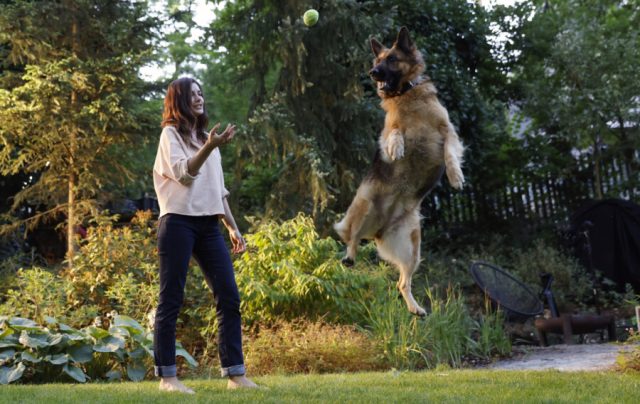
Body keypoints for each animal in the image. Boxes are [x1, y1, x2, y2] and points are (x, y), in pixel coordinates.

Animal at [332, 26, 462, 318]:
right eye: (376, 61)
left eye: (391, 59)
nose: (373, 73)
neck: (406, 94)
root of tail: (379, 229)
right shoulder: (387, 128)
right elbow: (394, 131)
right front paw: (396, 148)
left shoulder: (447, 130)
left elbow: (450, 151)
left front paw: (455, 175)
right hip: (365, 203)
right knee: (351, 236)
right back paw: (350, 256)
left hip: (413, 248)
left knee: (403, 282)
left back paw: (415, 308)